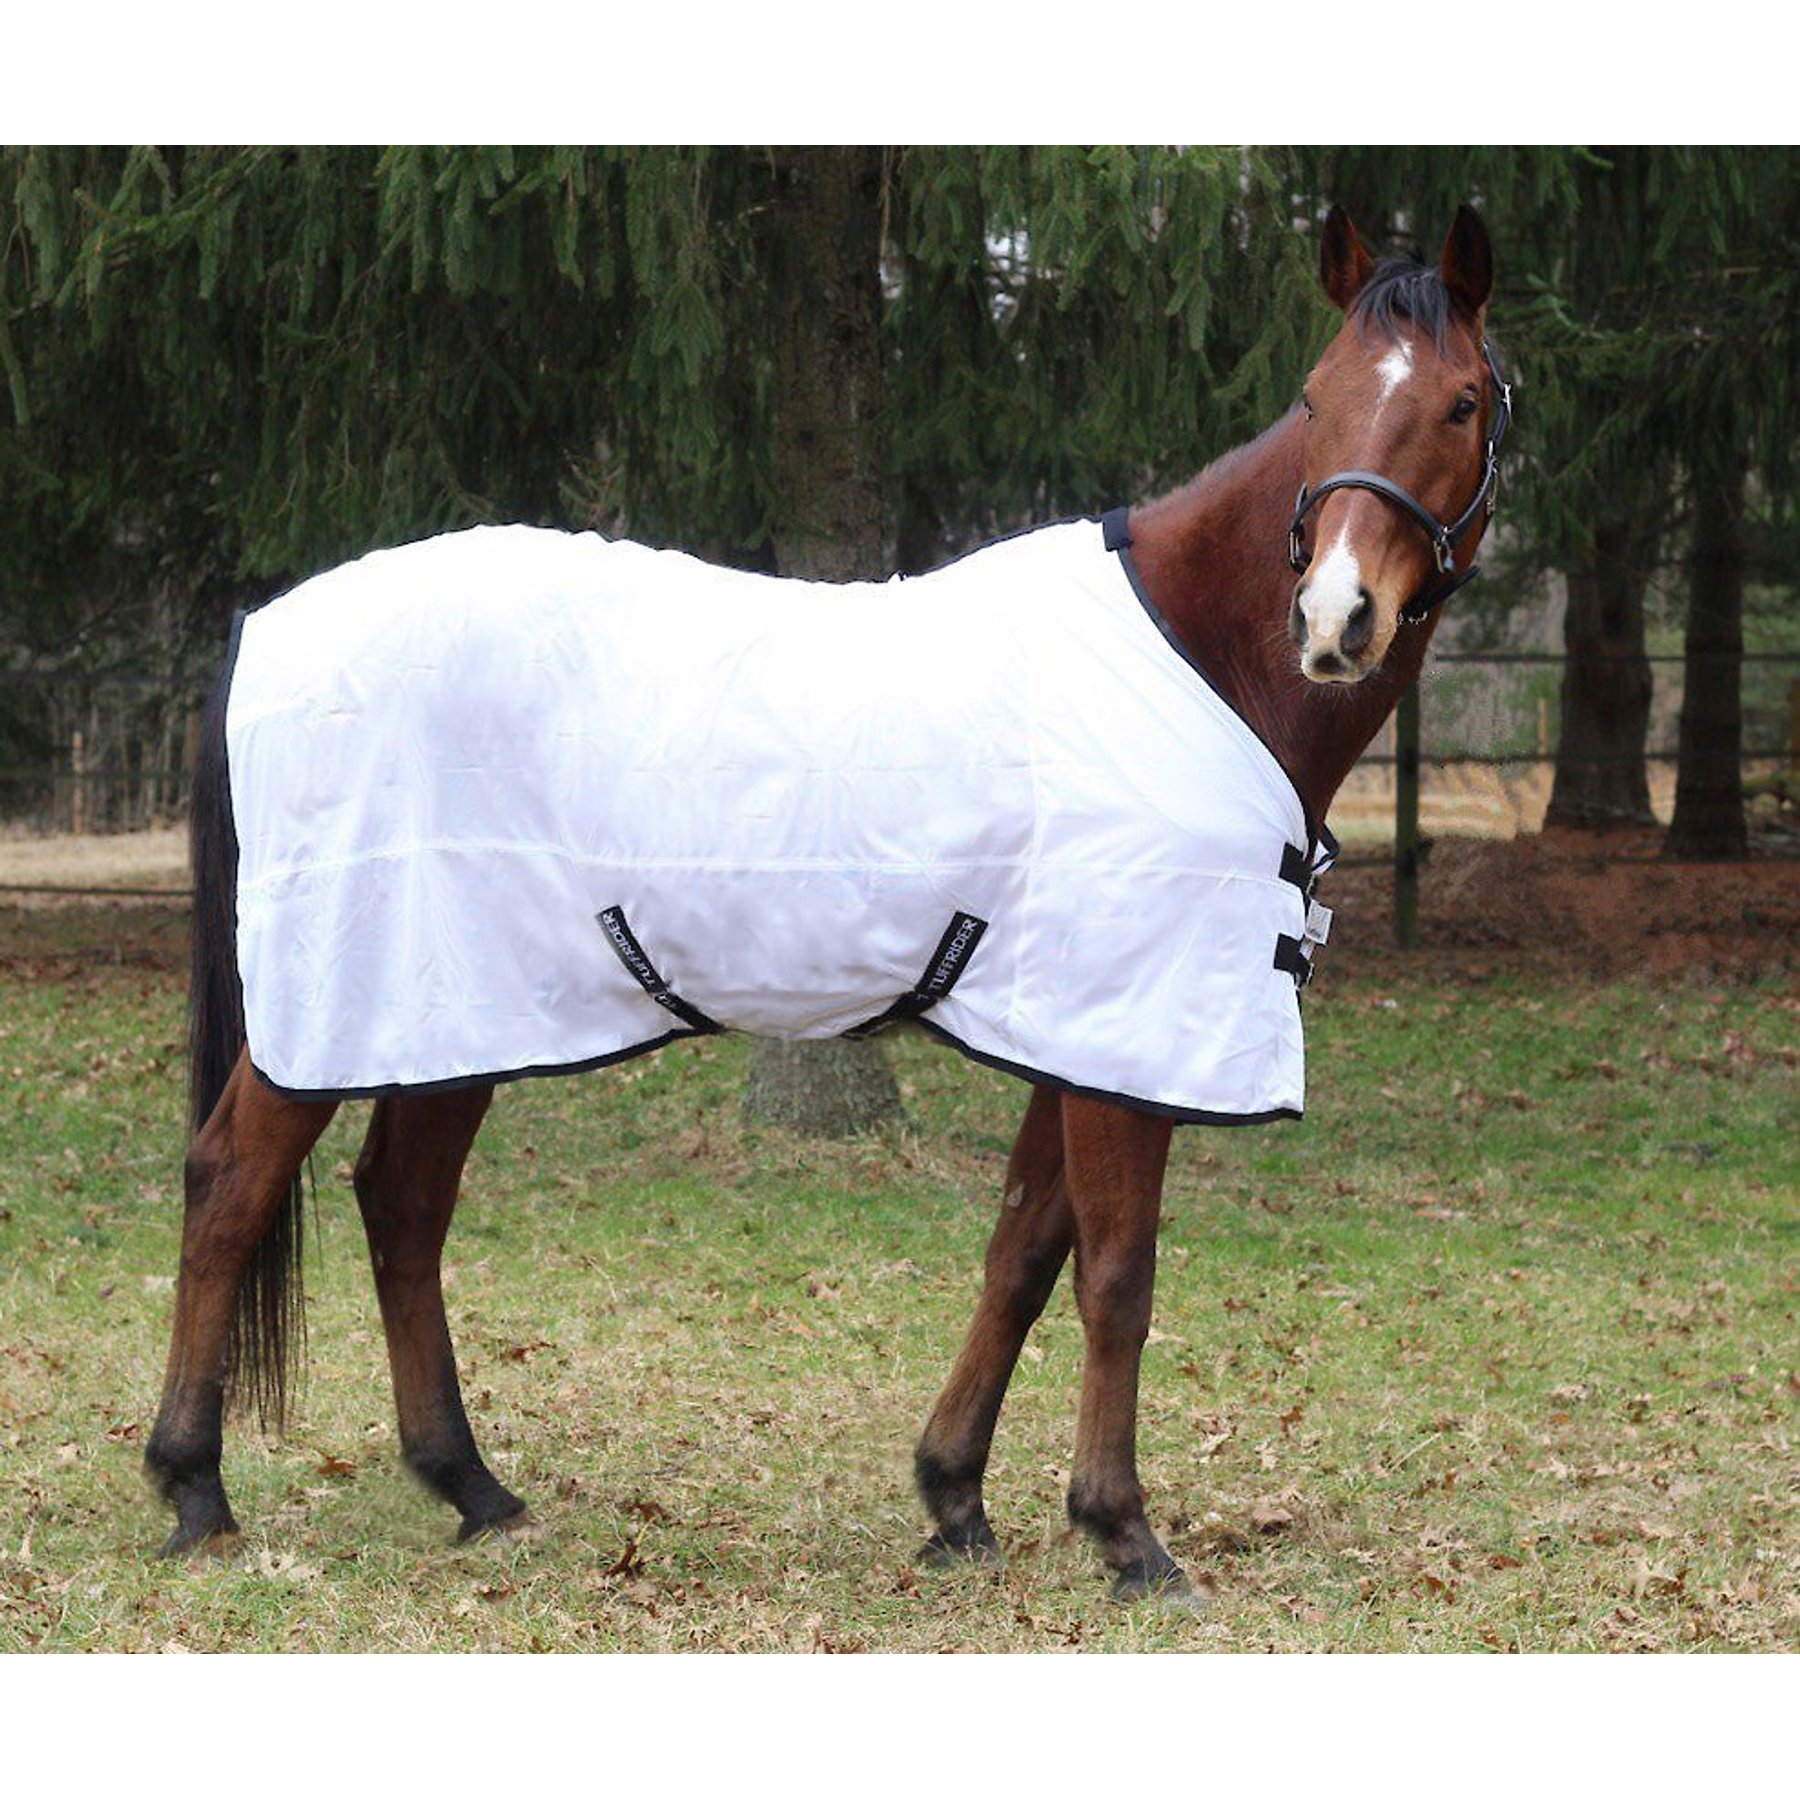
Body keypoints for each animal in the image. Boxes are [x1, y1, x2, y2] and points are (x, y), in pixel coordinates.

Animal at [146, 205, 1509, 1603]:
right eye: (1316, 398)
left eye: (1461, 402)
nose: (1335, 617)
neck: (1198, 650)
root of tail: (263, 627)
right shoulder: (1127, 1030)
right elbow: (1118, 1276)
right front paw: (1126, 1534)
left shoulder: (1075, 1026)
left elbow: (1024, 1252)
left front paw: (956, 1499)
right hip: (347, 998)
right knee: (232, 1180)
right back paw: (196, 1491)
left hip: (459, 1004)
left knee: (403, 1203)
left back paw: (471, 1487)